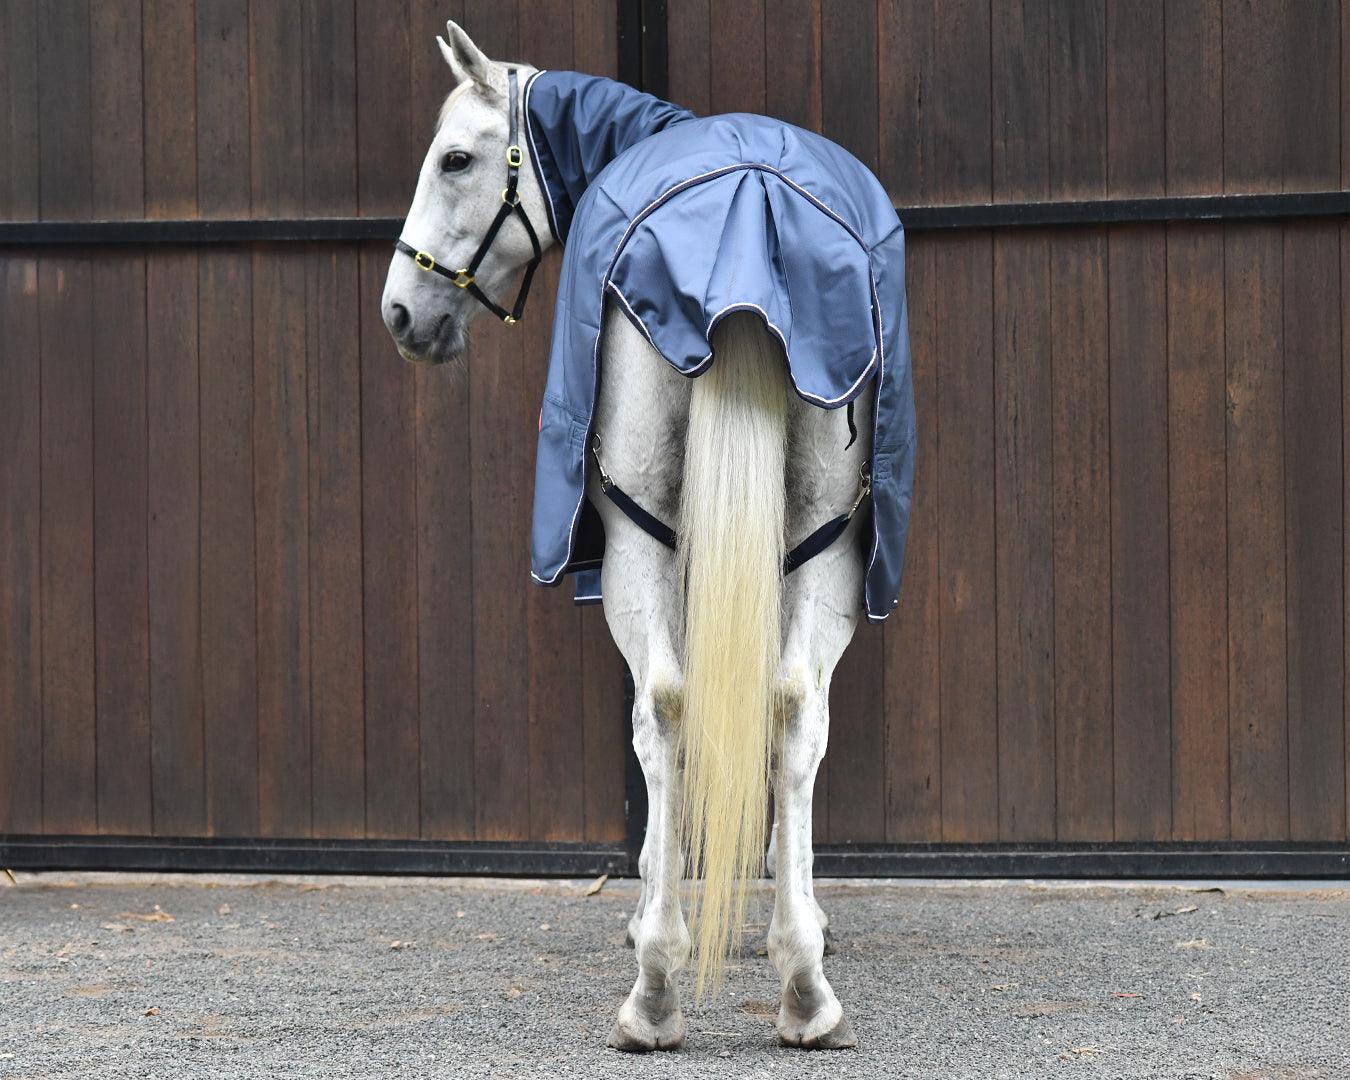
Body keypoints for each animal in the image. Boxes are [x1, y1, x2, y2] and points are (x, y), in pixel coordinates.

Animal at [381, 22, 915, 1053]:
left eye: (455, 159)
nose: (401, 314)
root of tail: (749, 195)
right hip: (827, 543)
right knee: (789, 706)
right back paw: (800, 988)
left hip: (640, 541)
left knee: (665, 708)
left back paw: (657, 989)